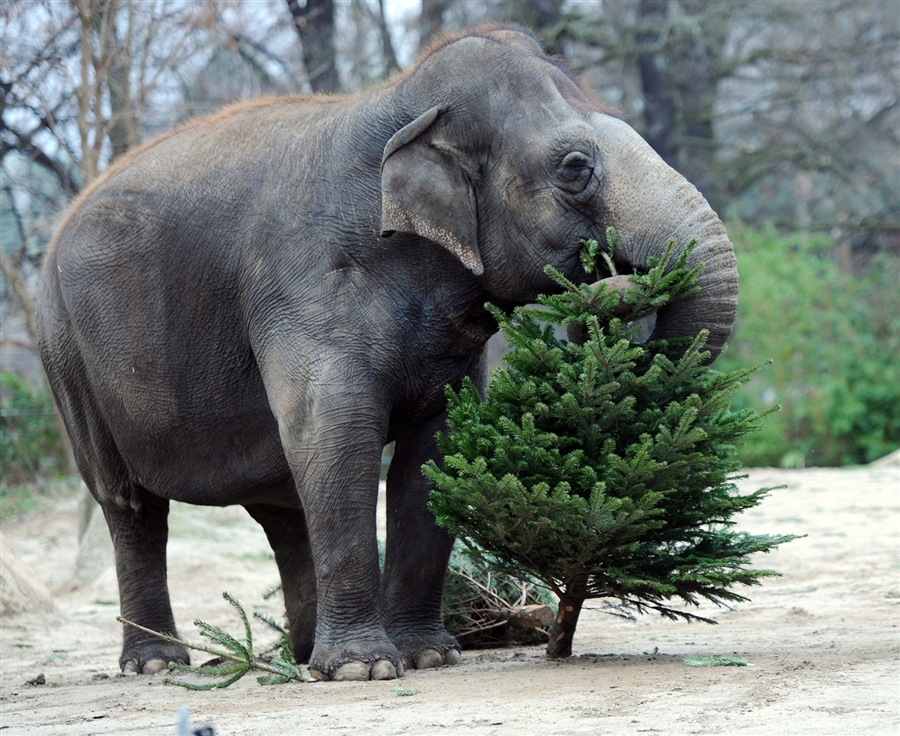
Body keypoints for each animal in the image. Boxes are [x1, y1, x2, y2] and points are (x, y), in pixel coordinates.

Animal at [36, 24, 738, 682]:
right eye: (573, 167)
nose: (611, 285)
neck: (400, 103)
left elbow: (433, 454)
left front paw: (427, 657)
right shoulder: (305, 289)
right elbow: (336, 438)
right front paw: (363, 670)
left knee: (281, 504)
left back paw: (299, 655)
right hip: (66, 352)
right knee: (130, 504)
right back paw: (159, 663)